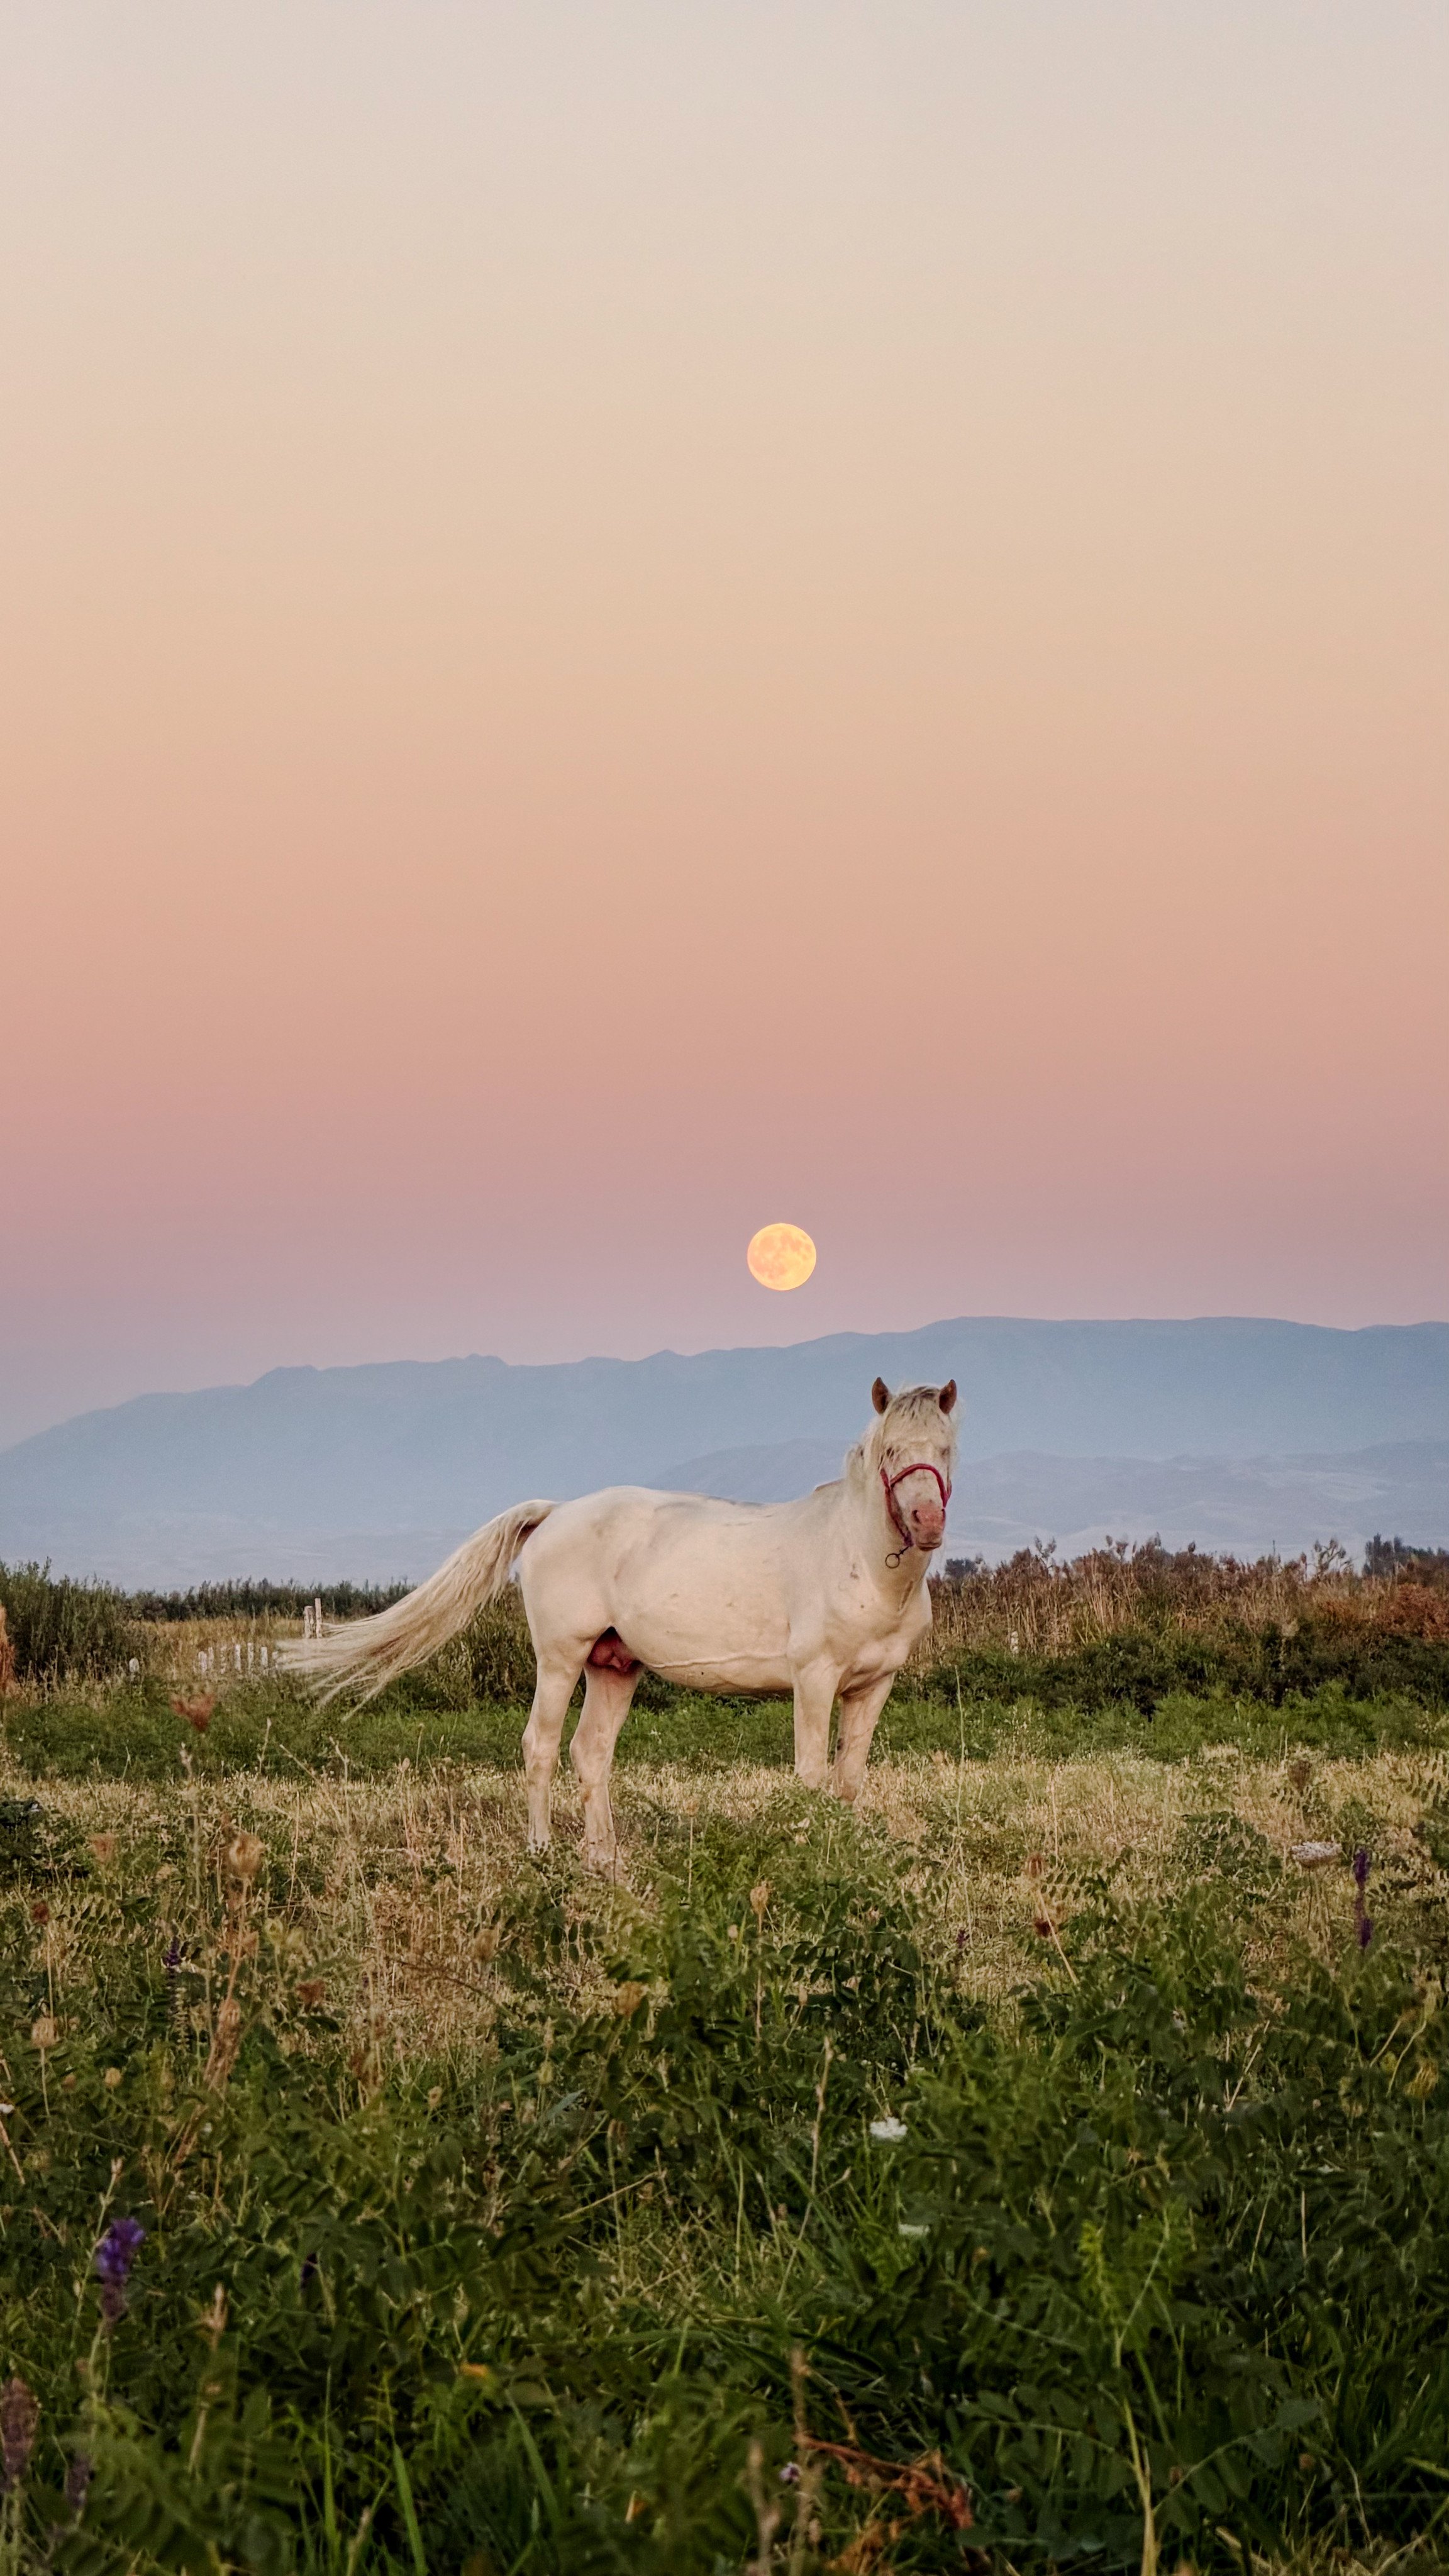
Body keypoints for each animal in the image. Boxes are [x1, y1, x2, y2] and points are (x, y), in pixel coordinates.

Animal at [286, 1376, 958, 1870]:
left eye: (946, 1449)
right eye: (891, 1451)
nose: (926, 1523)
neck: (861, 1561)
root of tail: (556, 1512)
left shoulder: (872, 1686)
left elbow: (848, 1779)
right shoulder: (813, 1679)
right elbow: (811, 1775)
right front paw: (808, 1851)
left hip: (614, 1666)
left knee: (592, 1753)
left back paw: (603, 1859)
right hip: (560, 1660)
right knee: (541, 1747)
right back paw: (543, 1851)